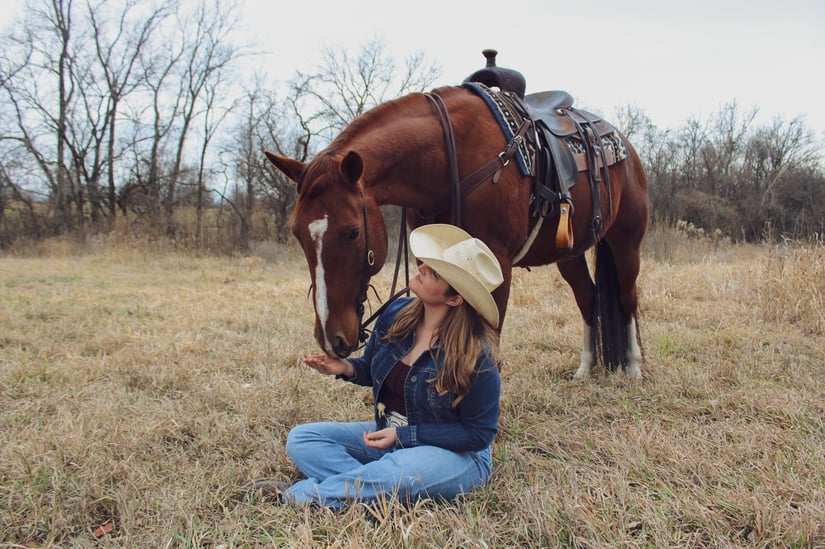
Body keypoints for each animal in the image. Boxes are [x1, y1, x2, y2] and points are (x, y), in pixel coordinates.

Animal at [265, 82, 649, 380]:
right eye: (298, 234)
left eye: (352, 232)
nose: (332, 339)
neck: (450, 162)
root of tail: (626, 146)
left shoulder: (497, 264)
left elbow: (489, 342)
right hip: (569, 254)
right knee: (588, 298)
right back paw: (586, 368)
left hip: (626, 243)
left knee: (626, 297)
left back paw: (632, 367)